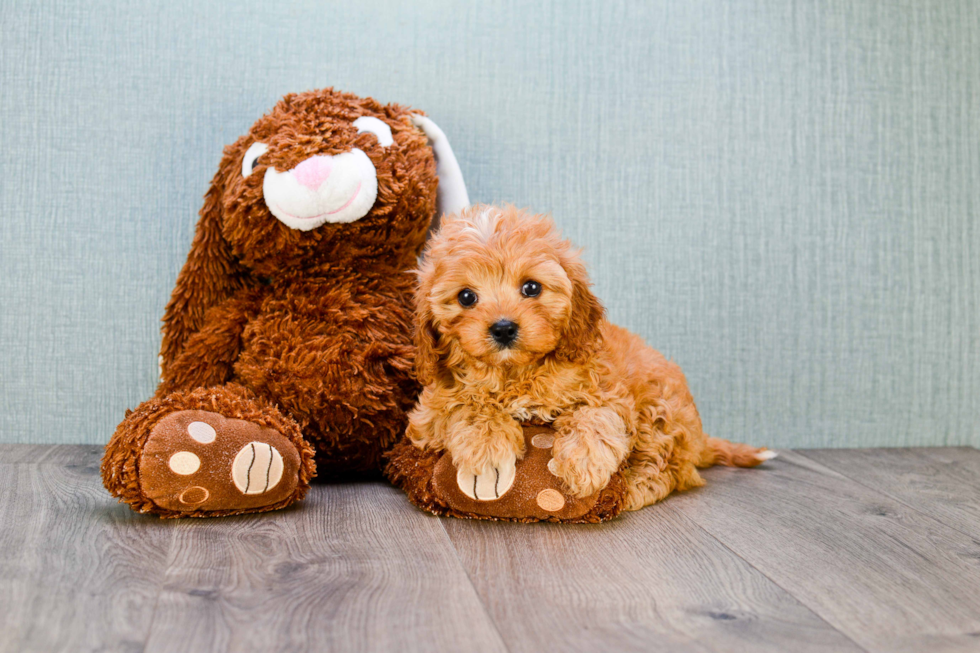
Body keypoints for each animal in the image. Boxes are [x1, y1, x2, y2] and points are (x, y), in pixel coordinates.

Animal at [406, 204, 772, 510]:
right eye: (466, 297)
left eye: (531, 288)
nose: (504, 328)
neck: (514, 372)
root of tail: (699, 441)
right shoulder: (427, 414)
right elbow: (467, 403)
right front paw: (487, 449)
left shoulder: (610, 392)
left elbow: (596, 416)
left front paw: (584, 460)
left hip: (661, 407)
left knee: (668, 468)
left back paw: (633, 489)